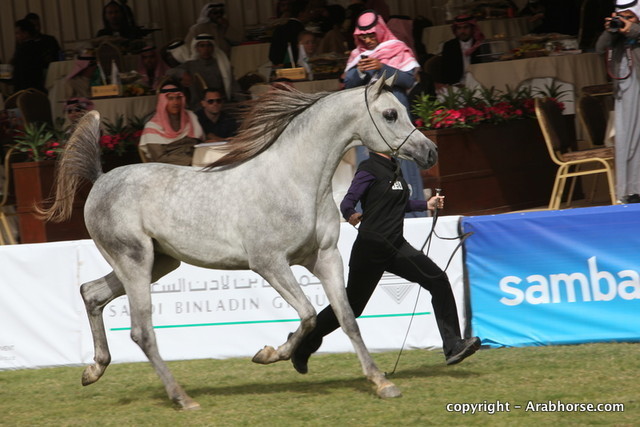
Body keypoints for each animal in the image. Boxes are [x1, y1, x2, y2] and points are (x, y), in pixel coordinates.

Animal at [40, 74, 438, 410]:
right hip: (134, 261)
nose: (430, 152)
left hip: (158, 262)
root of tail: (100, 180)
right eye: (390, 114)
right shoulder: (269, 262)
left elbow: (346, 318)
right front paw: (270, 353)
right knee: (142, 331)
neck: (296, 181)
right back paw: (182, 398)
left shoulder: (325, 257)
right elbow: (308, 314)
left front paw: (381, 382)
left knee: (91, 293)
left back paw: (93, 370)